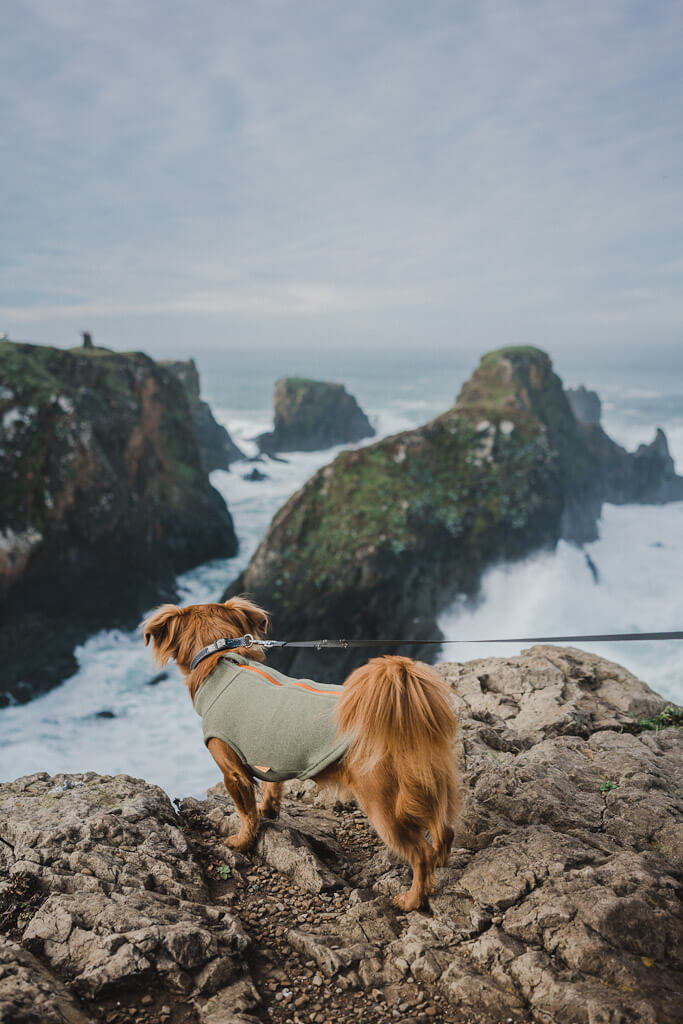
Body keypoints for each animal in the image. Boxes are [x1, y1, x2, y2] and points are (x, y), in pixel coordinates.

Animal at [145, 598, 464, 909]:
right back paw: (439, 864)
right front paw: (268, 811)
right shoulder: (269, 756)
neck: (222, 658)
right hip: (433, 786)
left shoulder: (232, 772)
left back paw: (413, 899)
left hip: (383, 808)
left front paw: (242, 842)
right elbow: (272, 790)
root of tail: (405, 720)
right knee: (444, 832)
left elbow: (246, 813)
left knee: (420, 854)